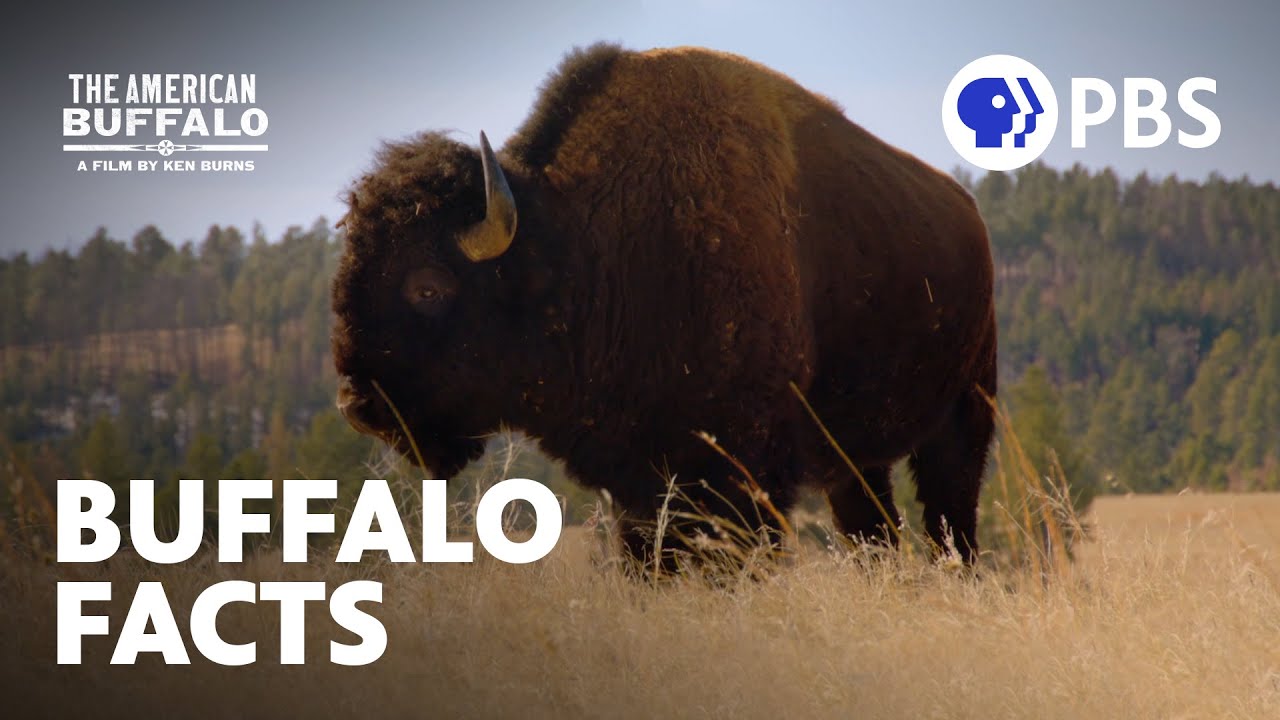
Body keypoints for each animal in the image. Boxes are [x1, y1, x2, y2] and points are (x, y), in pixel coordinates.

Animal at [331, 44, 997, 564]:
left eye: (428, 286)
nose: (358, 403)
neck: (577, 242)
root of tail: (967, 212)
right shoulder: (639, 483)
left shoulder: (742, 472)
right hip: (855, 457)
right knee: (874, 530)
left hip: (962, 417)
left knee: (951, 522)